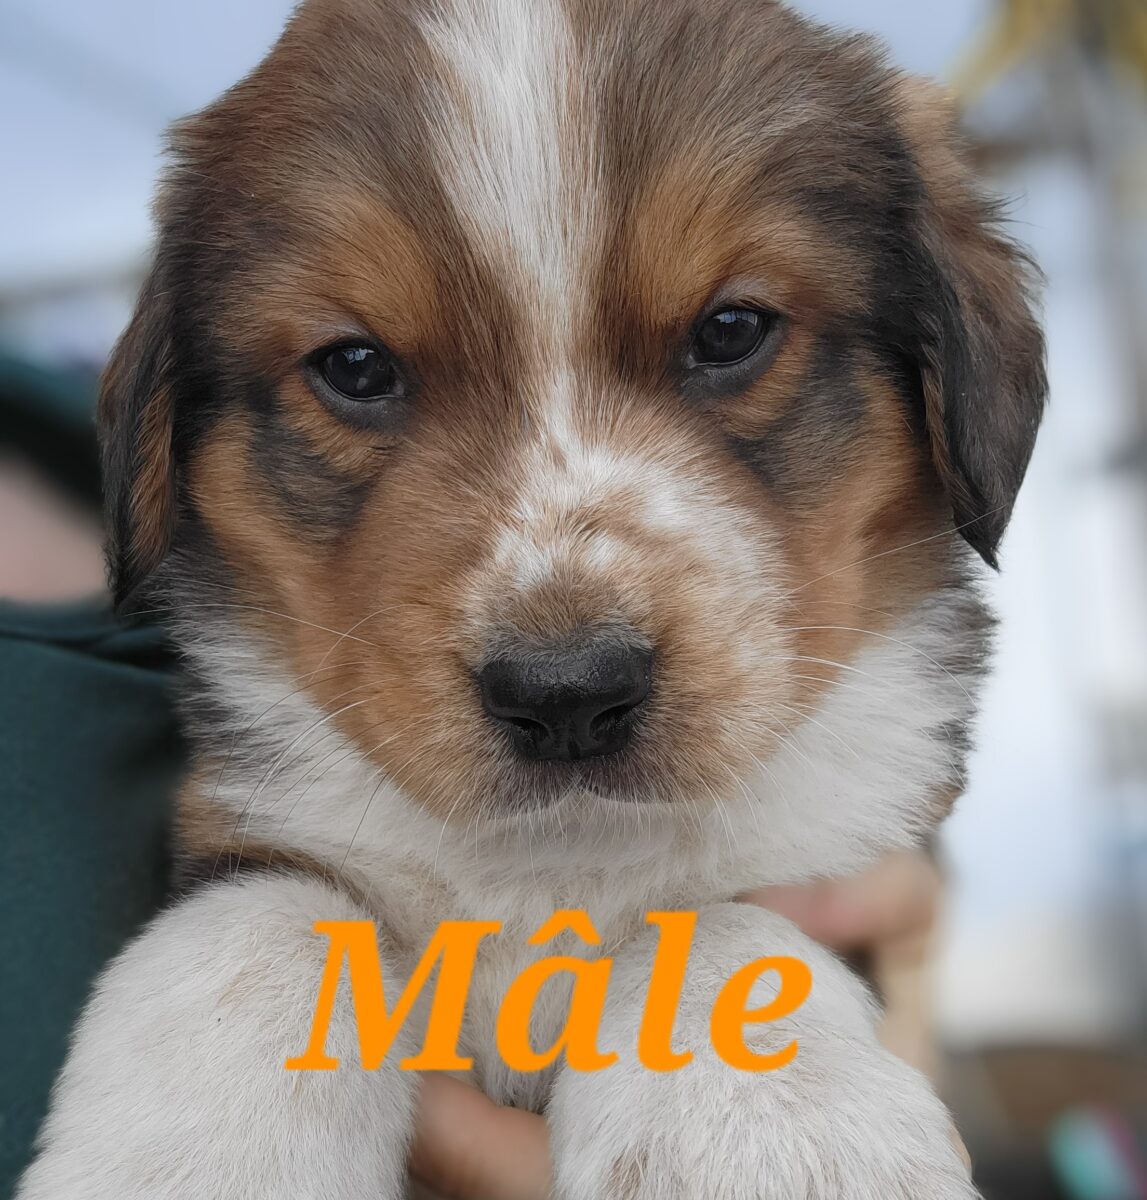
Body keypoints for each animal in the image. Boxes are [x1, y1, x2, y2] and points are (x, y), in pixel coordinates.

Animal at [17, 0, 1046, 1195]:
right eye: (353, 366)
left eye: (731, 330)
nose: (567, 696)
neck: (557, 855)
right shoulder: (245, 824)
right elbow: (265, 924)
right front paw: (192, 1159)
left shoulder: (863, 858)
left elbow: (725, 930)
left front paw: (767, 1133)